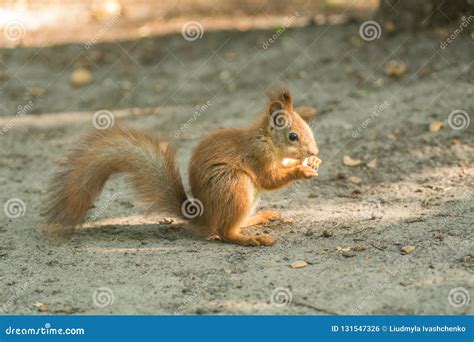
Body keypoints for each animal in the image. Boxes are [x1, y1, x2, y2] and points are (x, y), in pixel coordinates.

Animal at [42, 88, 320, 246]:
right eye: (293, 136)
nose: (314, 151)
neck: (266, 140)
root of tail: (203, 217)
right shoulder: (257, 156)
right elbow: (269, 179)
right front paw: (302, 169)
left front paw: (311, 162)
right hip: (235, 187)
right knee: (225, 232)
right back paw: (252, 239)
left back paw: (259, 218)